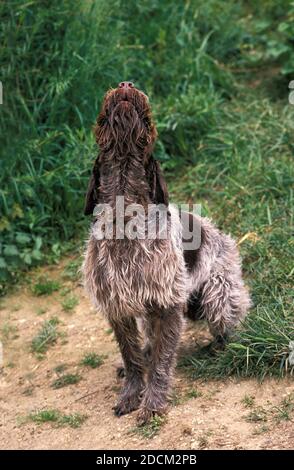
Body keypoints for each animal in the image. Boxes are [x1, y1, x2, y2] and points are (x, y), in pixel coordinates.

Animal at [82, 80, 250, 422]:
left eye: (149, 121)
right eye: (102, 117)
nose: (126, 83)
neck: (126, 217)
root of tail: (224, 236)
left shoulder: (169, 306)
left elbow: (161, 362)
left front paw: (153, 402)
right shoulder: (118, 309)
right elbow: (132, 357)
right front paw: (131, 393)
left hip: (219, 295)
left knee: (226, 325)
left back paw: (221, 347)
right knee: (147, 343)